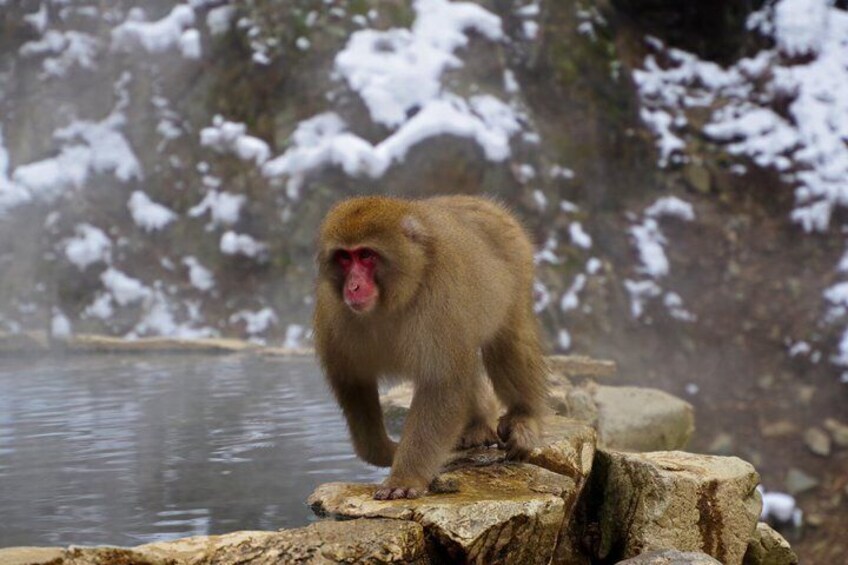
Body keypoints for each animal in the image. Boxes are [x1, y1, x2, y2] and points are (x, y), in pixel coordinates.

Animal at [314, 195, 548, 500]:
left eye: (366, 255)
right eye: (344, 257)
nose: (352, 287)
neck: (395, 299)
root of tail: (481, 202)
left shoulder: (440, 296)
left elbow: (441, 381)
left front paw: (405, 477)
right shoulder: (334, 312)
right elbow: (352, 381)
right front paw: (387, 451)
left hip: (518, 264)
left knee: (508, 339)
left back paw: (524, 416)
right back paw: (477, 423)